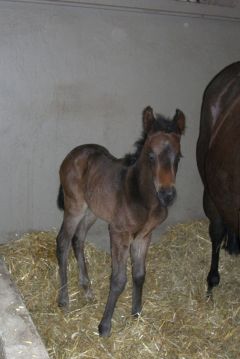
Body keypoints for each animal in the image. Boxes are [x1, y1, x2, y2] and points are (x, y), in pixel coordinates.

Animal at [56, 107, 186, 338]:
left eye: (178, 157)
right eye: (151, 156)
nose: (167, 195)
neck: (143, 197)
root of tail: (73, 154)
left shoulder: (144, 236)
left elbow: (139, 274)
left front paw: (137, 313)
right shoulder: (119, 233)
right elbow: (118, 280)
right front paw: (104, 326)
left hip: (92, 211)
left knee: (78, 239)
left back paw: (87, 289)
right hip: (74, 207)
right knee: (63, 241)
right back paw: (64, 299)